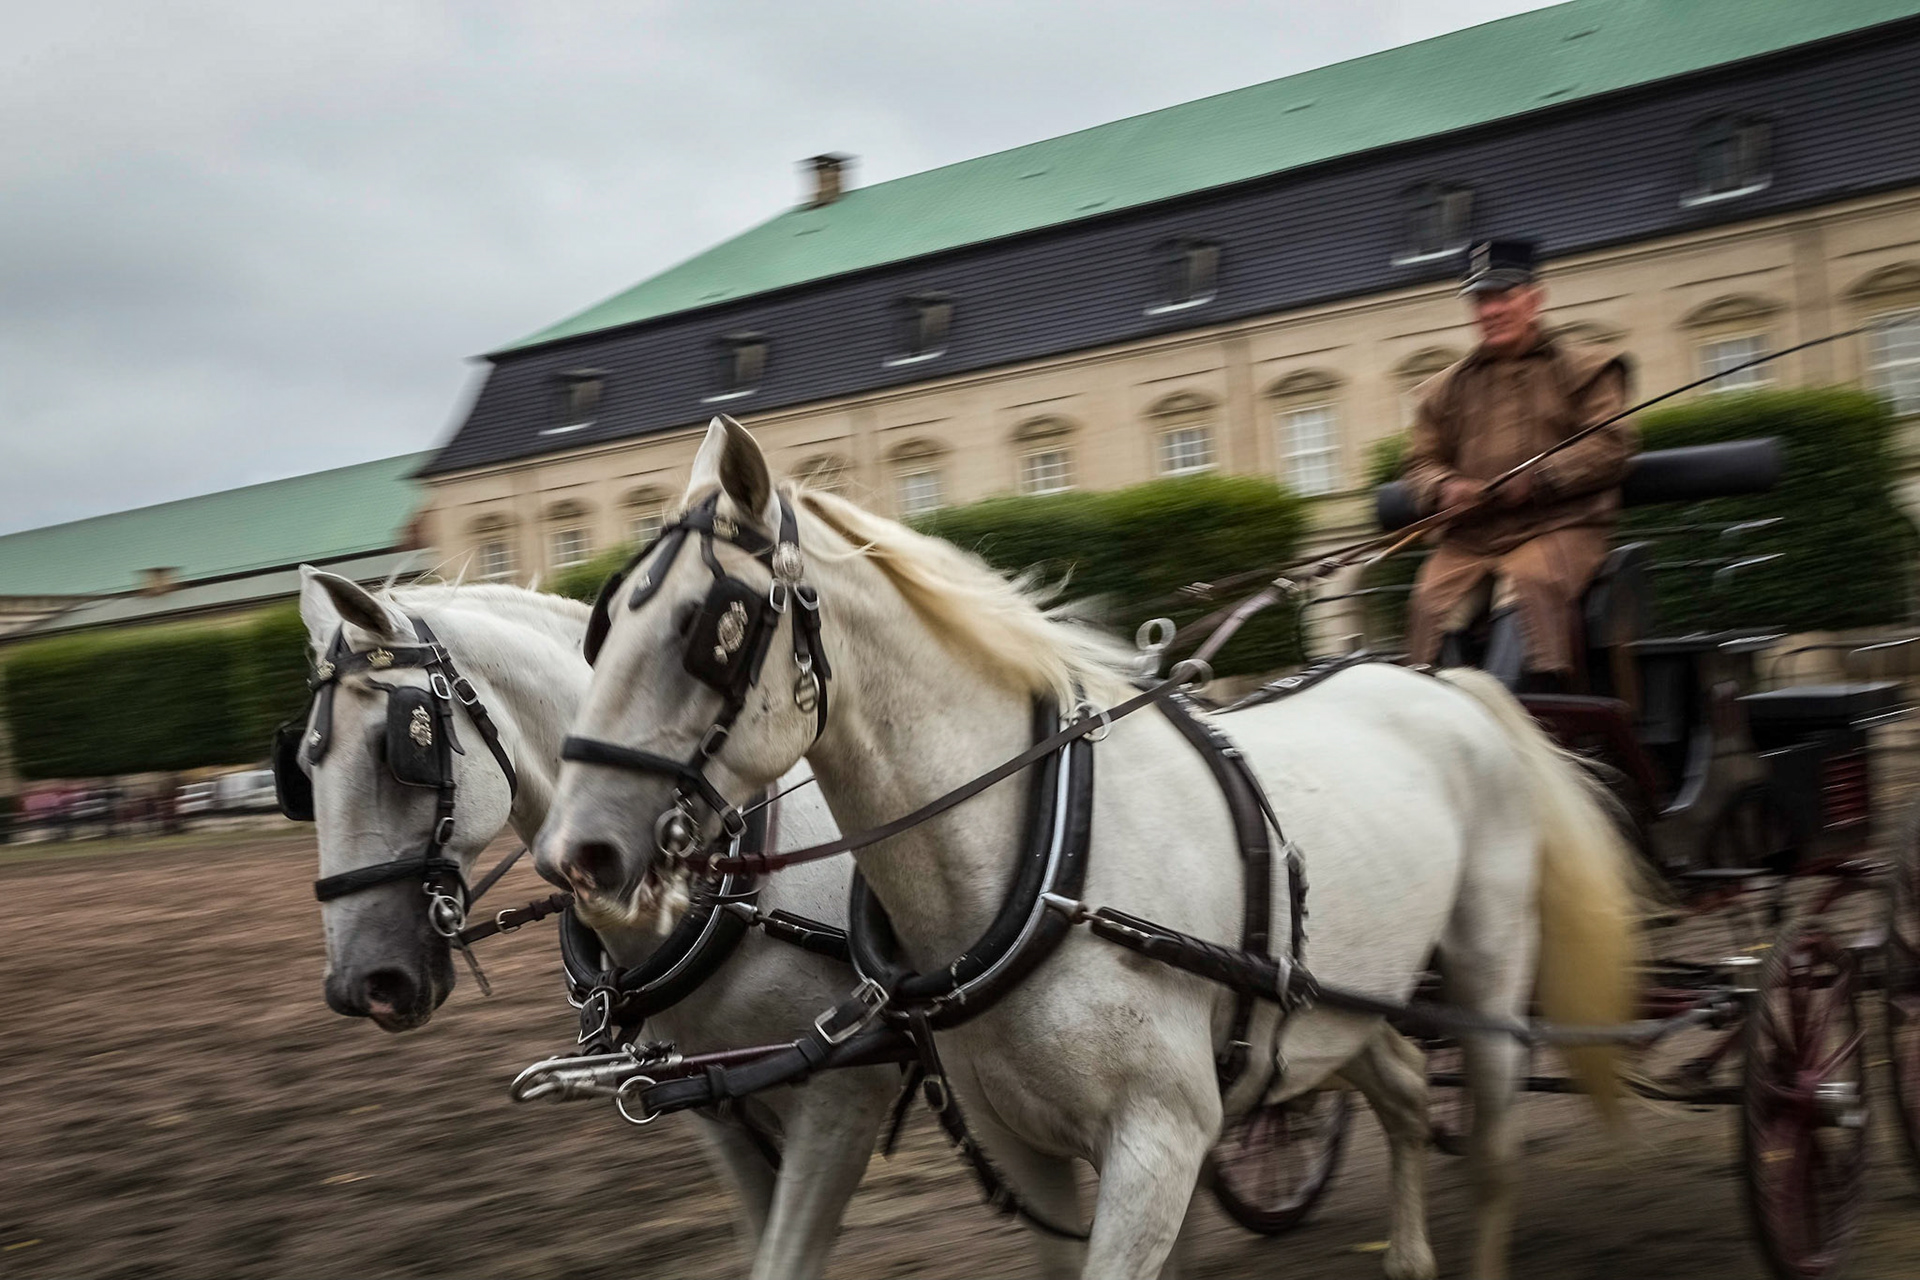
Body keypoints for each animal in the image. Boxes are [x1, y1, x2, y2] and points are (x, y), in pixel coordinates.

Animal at [536, 416, 1642, 1280]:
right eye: (600, 626)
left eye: (709, 629)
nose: (576, 854)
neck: (1046, 864)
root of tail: (1439, 680)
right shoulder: (1027, 1147)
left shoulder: (1158, 1142)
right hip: (1338, 997)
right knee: (1407, 1093)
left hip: (1487, 981)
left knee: (1490, 1152)